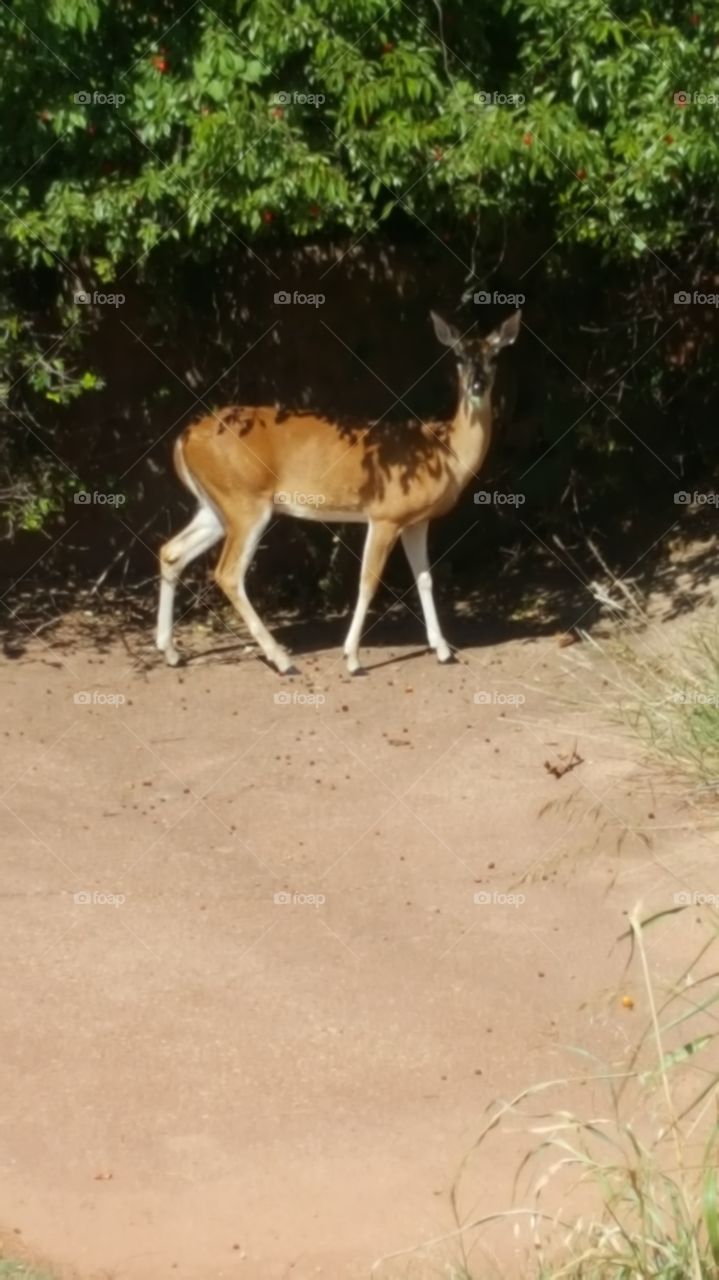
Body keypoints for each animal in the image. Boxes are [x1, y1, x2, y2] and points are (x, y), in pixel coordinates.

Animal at [156, 308, 521, 674]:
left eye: (494, 355)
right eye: (458, 357)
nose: (477, 385)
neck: (443, 450)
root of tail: (184, 438)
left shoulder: (416, 521)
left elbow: (425, 579)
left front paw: (443, 650)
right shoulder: (385, 514)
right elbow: (368, 581)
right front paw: (353, 658)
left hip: (216, 505)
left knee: (171, 551)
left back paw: (170, 652)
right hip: (245, 501)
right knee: (228, 573)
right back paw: (282, 659)